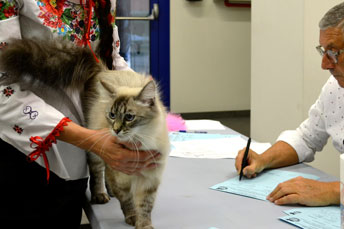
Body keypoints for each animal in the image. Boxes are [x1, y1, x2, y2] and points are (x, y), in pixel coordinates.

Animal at [0, 38, 171, 228]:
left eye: (129, 117)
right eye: (112, 115)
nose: (116, 129)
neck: (140, 141)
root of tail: (103, 69)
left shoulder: (150, 181)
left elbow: (145, 207)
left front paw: (144, 225)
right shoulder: (120, 176)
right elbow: (128, 201)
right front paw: (132, 218)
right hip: (96, 152)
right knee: (97, 171)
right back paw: (101, 195)